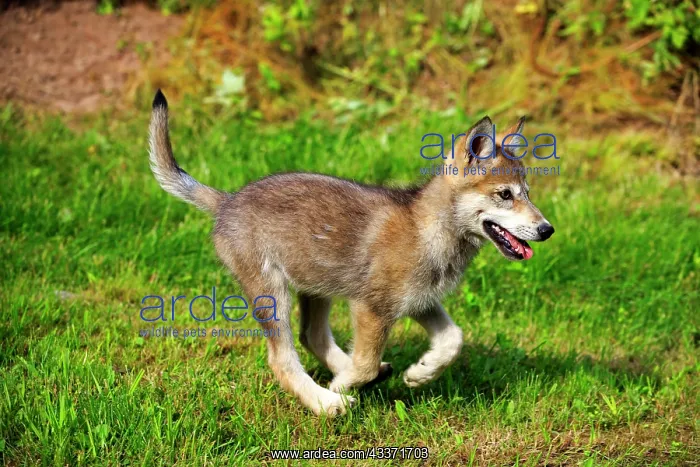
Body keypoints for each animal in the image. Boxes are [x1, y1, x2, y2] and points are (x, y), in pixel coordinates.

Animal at [148, 90, 554, 416]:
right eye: (505, 194)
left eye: (528, 193)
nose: (547, 230)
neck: (430, 229)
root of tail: (226, 201)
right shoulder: (372, 308)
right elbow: (367, 363)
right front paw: (342, 386)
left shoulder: (420, 302)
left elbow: (453, 339)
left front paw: (420, 373)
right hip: (272, 293)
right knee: (282, 358)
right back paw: (326, 403)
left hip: (317, 285)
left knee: (312, 336)